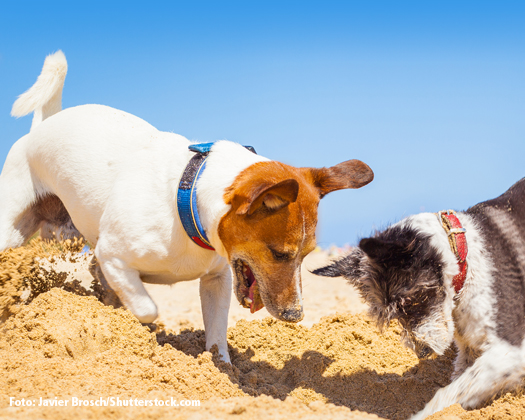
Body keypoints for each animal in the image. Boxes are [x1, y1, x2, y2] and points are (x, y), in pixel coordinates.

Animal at [2, 51, 374, 360]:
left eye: (307, 255)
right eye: (279, 253)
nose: (296, 316)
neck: (187, 200)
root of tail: (43, 126)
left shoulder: (217, 280)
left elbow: (217, 334)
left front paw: (220, 366)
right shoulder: (113, 256)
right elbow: (147, 308)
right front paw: (139, 331)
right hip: (12, 232)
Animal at [314, 178, 524, 416]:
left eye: (411, 300)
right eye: (393, 314)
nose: (422, 352)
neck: (465, 256)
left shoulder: (510, 351)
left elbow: (447, 394)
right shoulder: (469, 350)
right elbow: (460, 386)